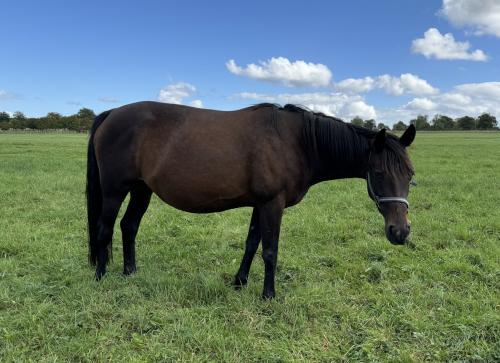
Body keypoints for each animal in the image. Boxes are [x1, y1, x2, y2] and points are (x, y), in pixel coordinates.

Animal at [86, 101, 414, 298]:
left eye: (410, 174)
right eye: (378, 172)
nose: (399, 232)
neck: (298, 142)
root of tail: (111, 113)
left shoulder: (260, 204)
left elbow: (251, 243)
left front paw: (239, 282)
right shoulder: (272, 204)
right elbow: (270, 250)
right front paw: (269, 295)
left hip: (142, 189)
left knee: (129, 226)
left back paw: (130, 273)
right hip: (114, 191)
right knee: (104, 230)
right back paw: (101, 277)